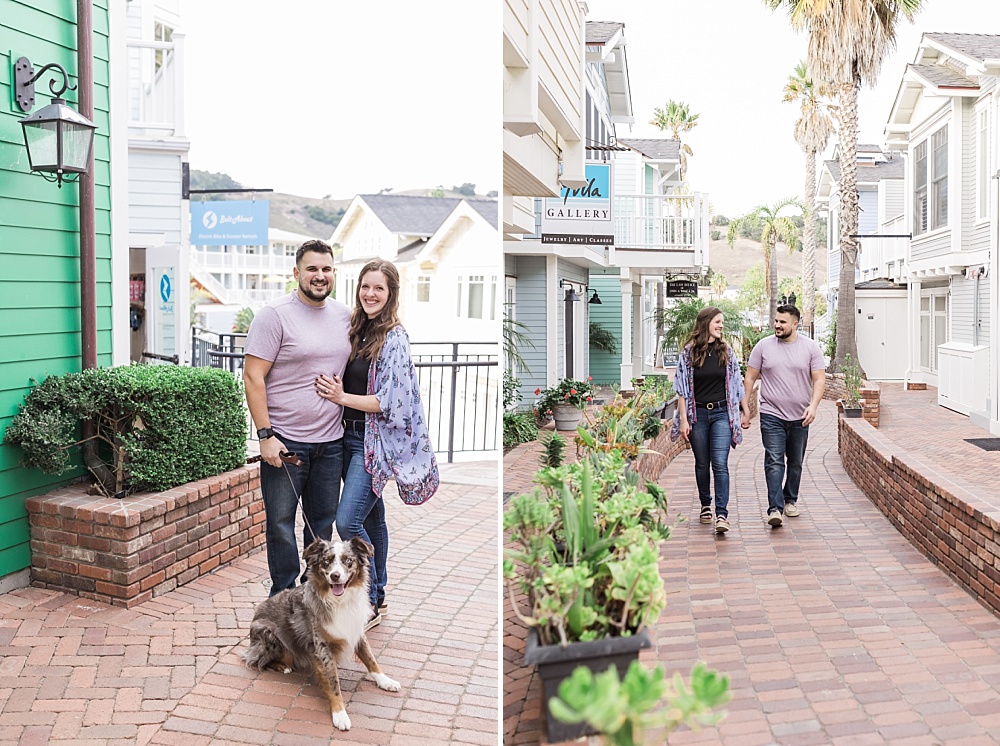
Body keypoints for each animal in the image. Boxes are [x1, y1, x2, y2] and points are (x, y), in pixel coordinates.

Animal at [242, 536, 398, 728]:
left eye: (348, 560)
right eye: (326, 562)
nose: (335, 576)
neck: (340, 602)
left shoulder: (356, 631)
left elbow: (370, 659)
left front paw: (385, 681)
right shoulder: (322, 646)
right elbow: (333, 682)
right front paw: (340, 714)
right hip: (269, 634)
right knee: (257, 660)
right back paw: (283, 666)